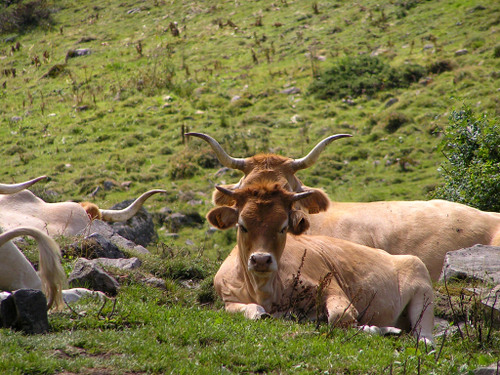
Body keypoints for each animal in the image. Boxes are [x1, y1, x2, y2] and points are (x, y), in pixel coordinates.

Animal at [207, 181, 434, 344]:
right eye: (242, 225)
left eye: (283, 227)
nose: (261, 259)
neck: (264, 290)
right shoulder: (229, 299)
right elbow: (252, 311)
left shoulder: (332, 288)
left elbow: (339, 317)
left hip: (422, 287)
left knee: (424, 336)